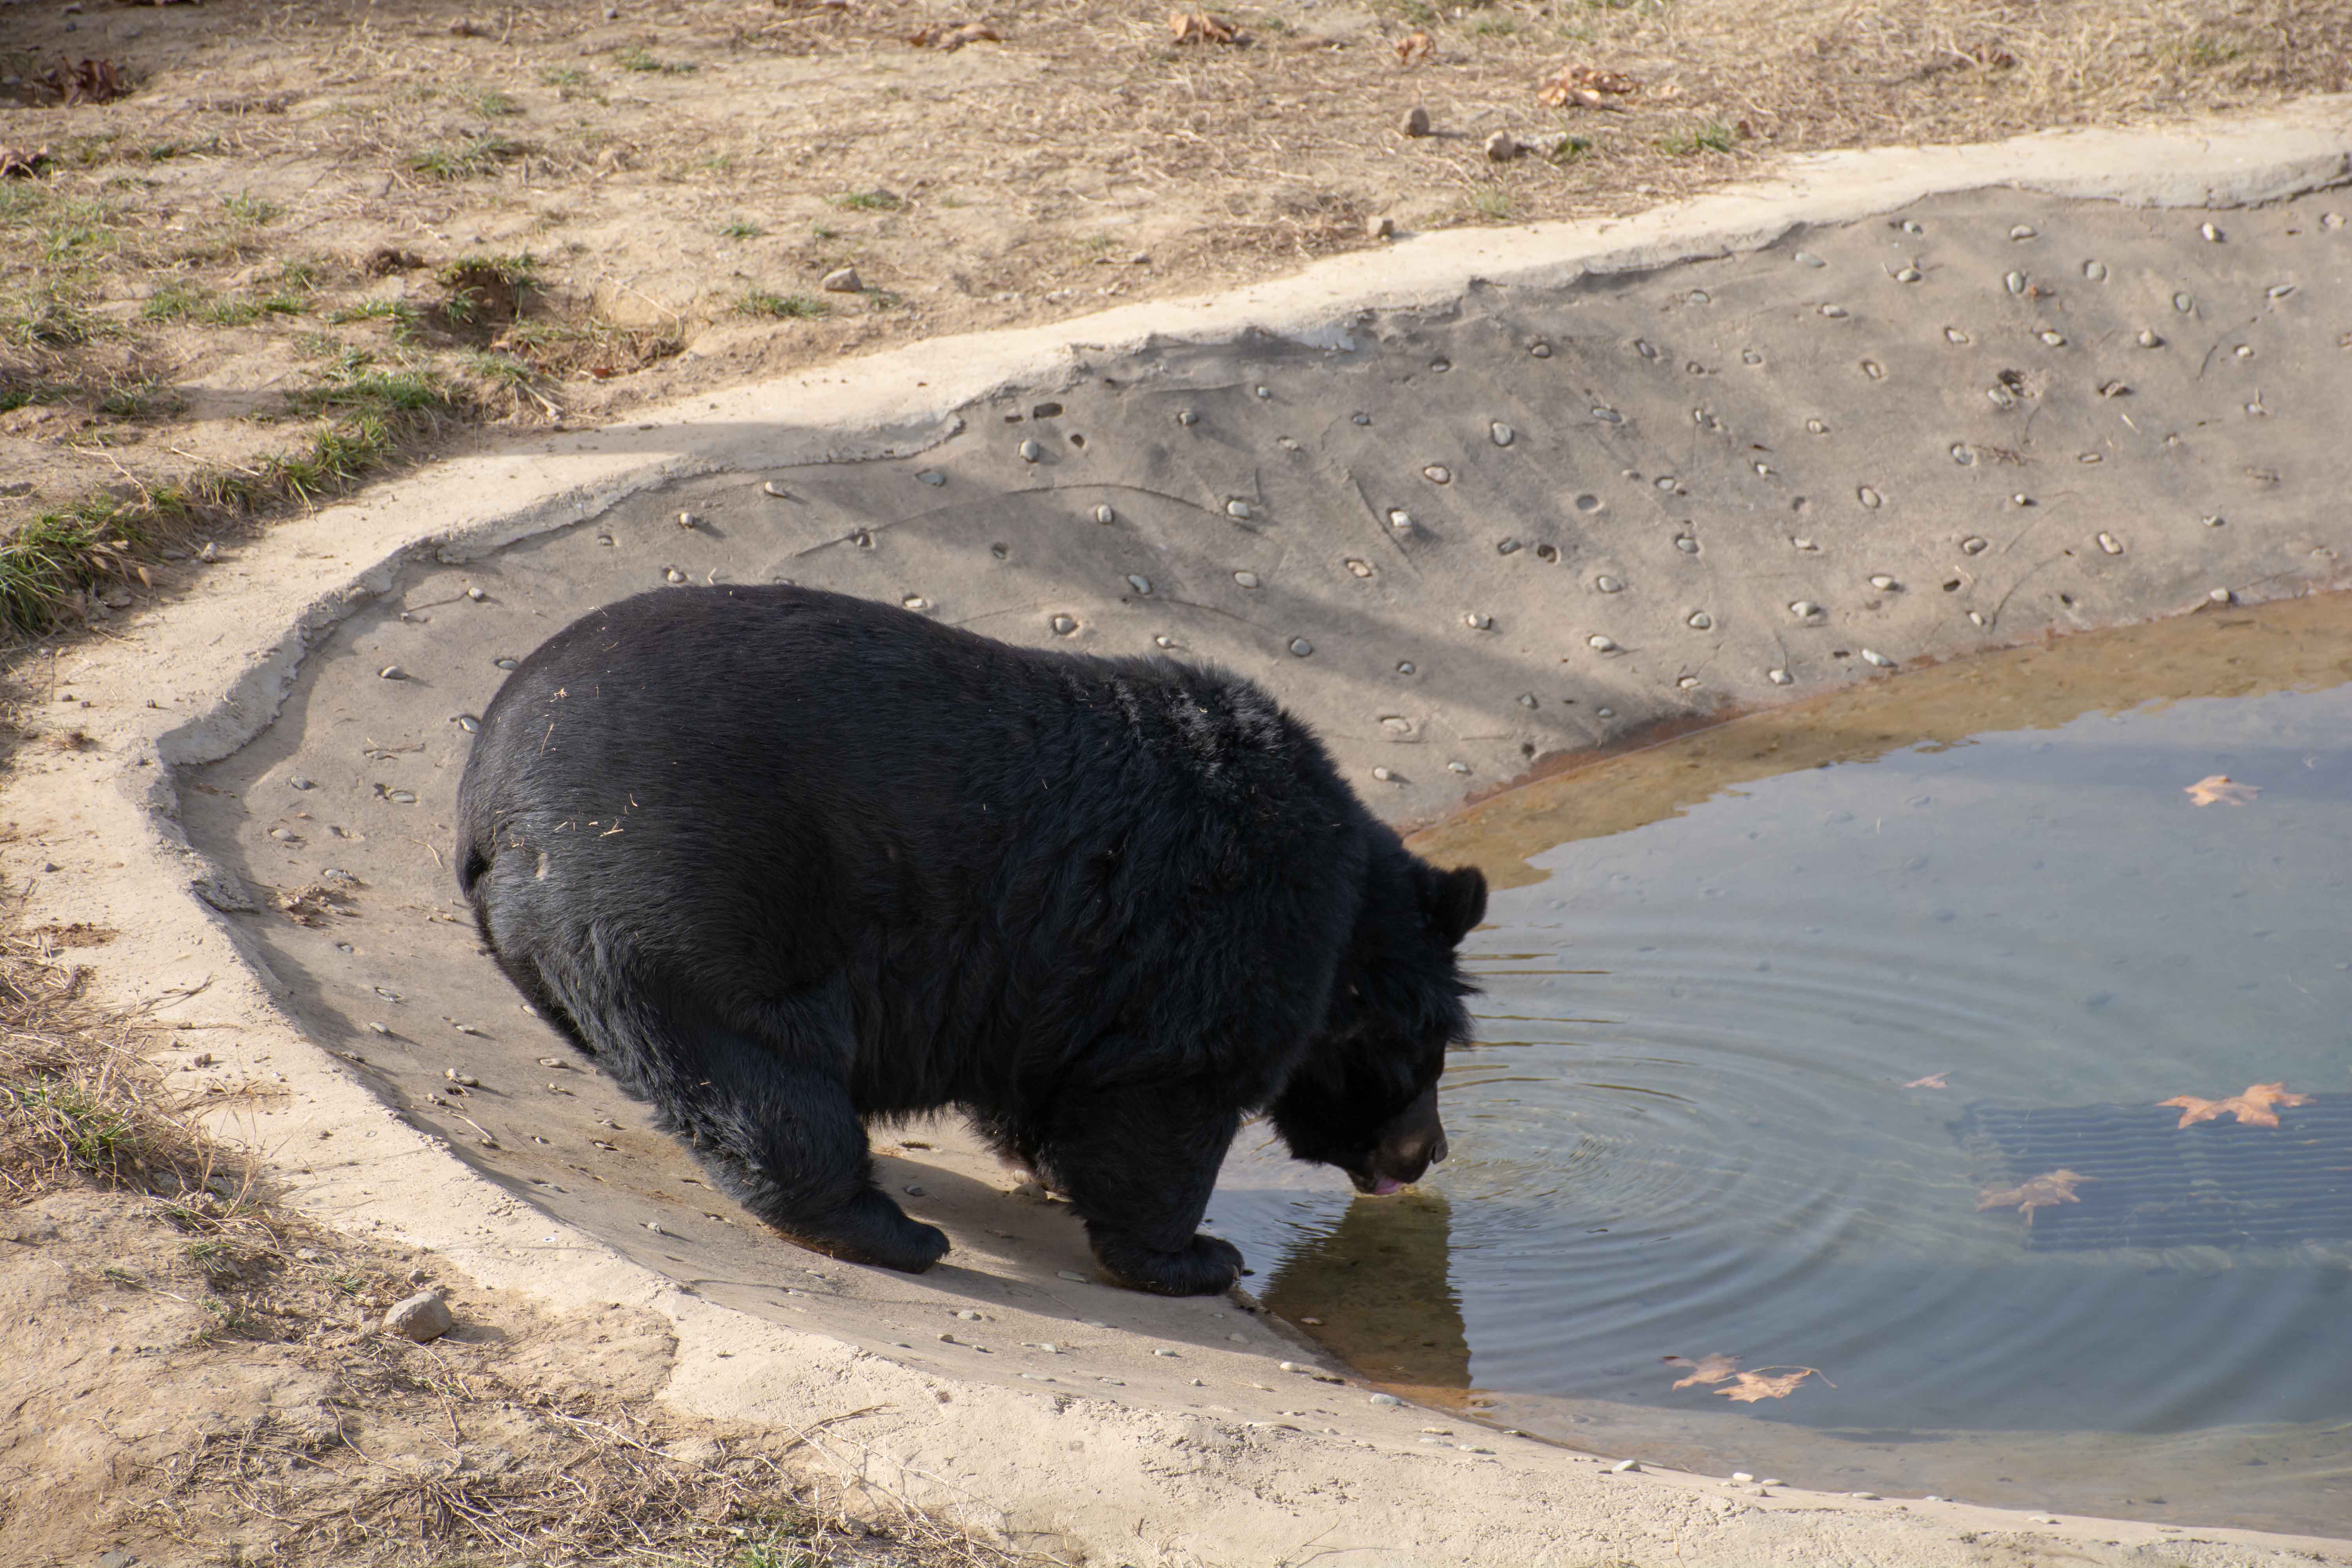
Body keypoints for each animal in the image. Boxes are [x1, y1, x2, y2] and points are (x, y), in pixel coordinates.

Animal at [454, 583, 1486, 1298]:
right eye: (1422, 1056)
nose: (1426, 1152)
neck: (1346, 918)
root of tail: (491, 801)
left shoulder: (1052, 980)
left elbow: (1052, 1087)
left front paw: (1051, 1173)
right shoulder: (1222, 938)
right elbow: (1169, 1103)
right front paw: (1198, 1255)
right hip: (698, 900)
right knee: (760, 1078)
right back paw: (887, 1229)